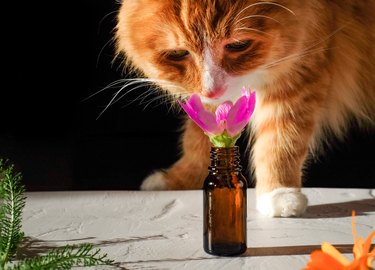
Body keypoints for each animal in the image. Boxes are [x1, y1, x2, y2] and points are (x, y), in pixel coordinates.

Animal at [115, 1, 375, 217]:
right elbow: (197, 139)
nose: (212, 90)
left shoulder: (297, 72)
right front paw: (181, 178)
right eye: (178, 54)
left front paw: (279, 192)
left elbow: (281, 141)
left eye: (238, 45)